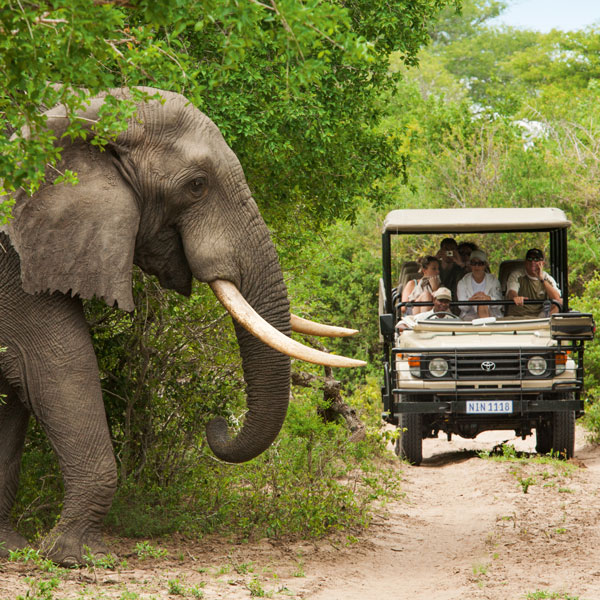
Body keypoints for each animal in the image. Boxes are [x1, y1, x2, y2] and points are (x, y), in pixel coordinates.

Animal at [0, 86, 364, 564]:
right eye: (196, 186)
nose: (217, 424)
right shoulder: (13, 258)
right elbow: (56, 365)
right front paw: (73, 557)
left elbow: (15, 388)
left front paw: (13, 549)